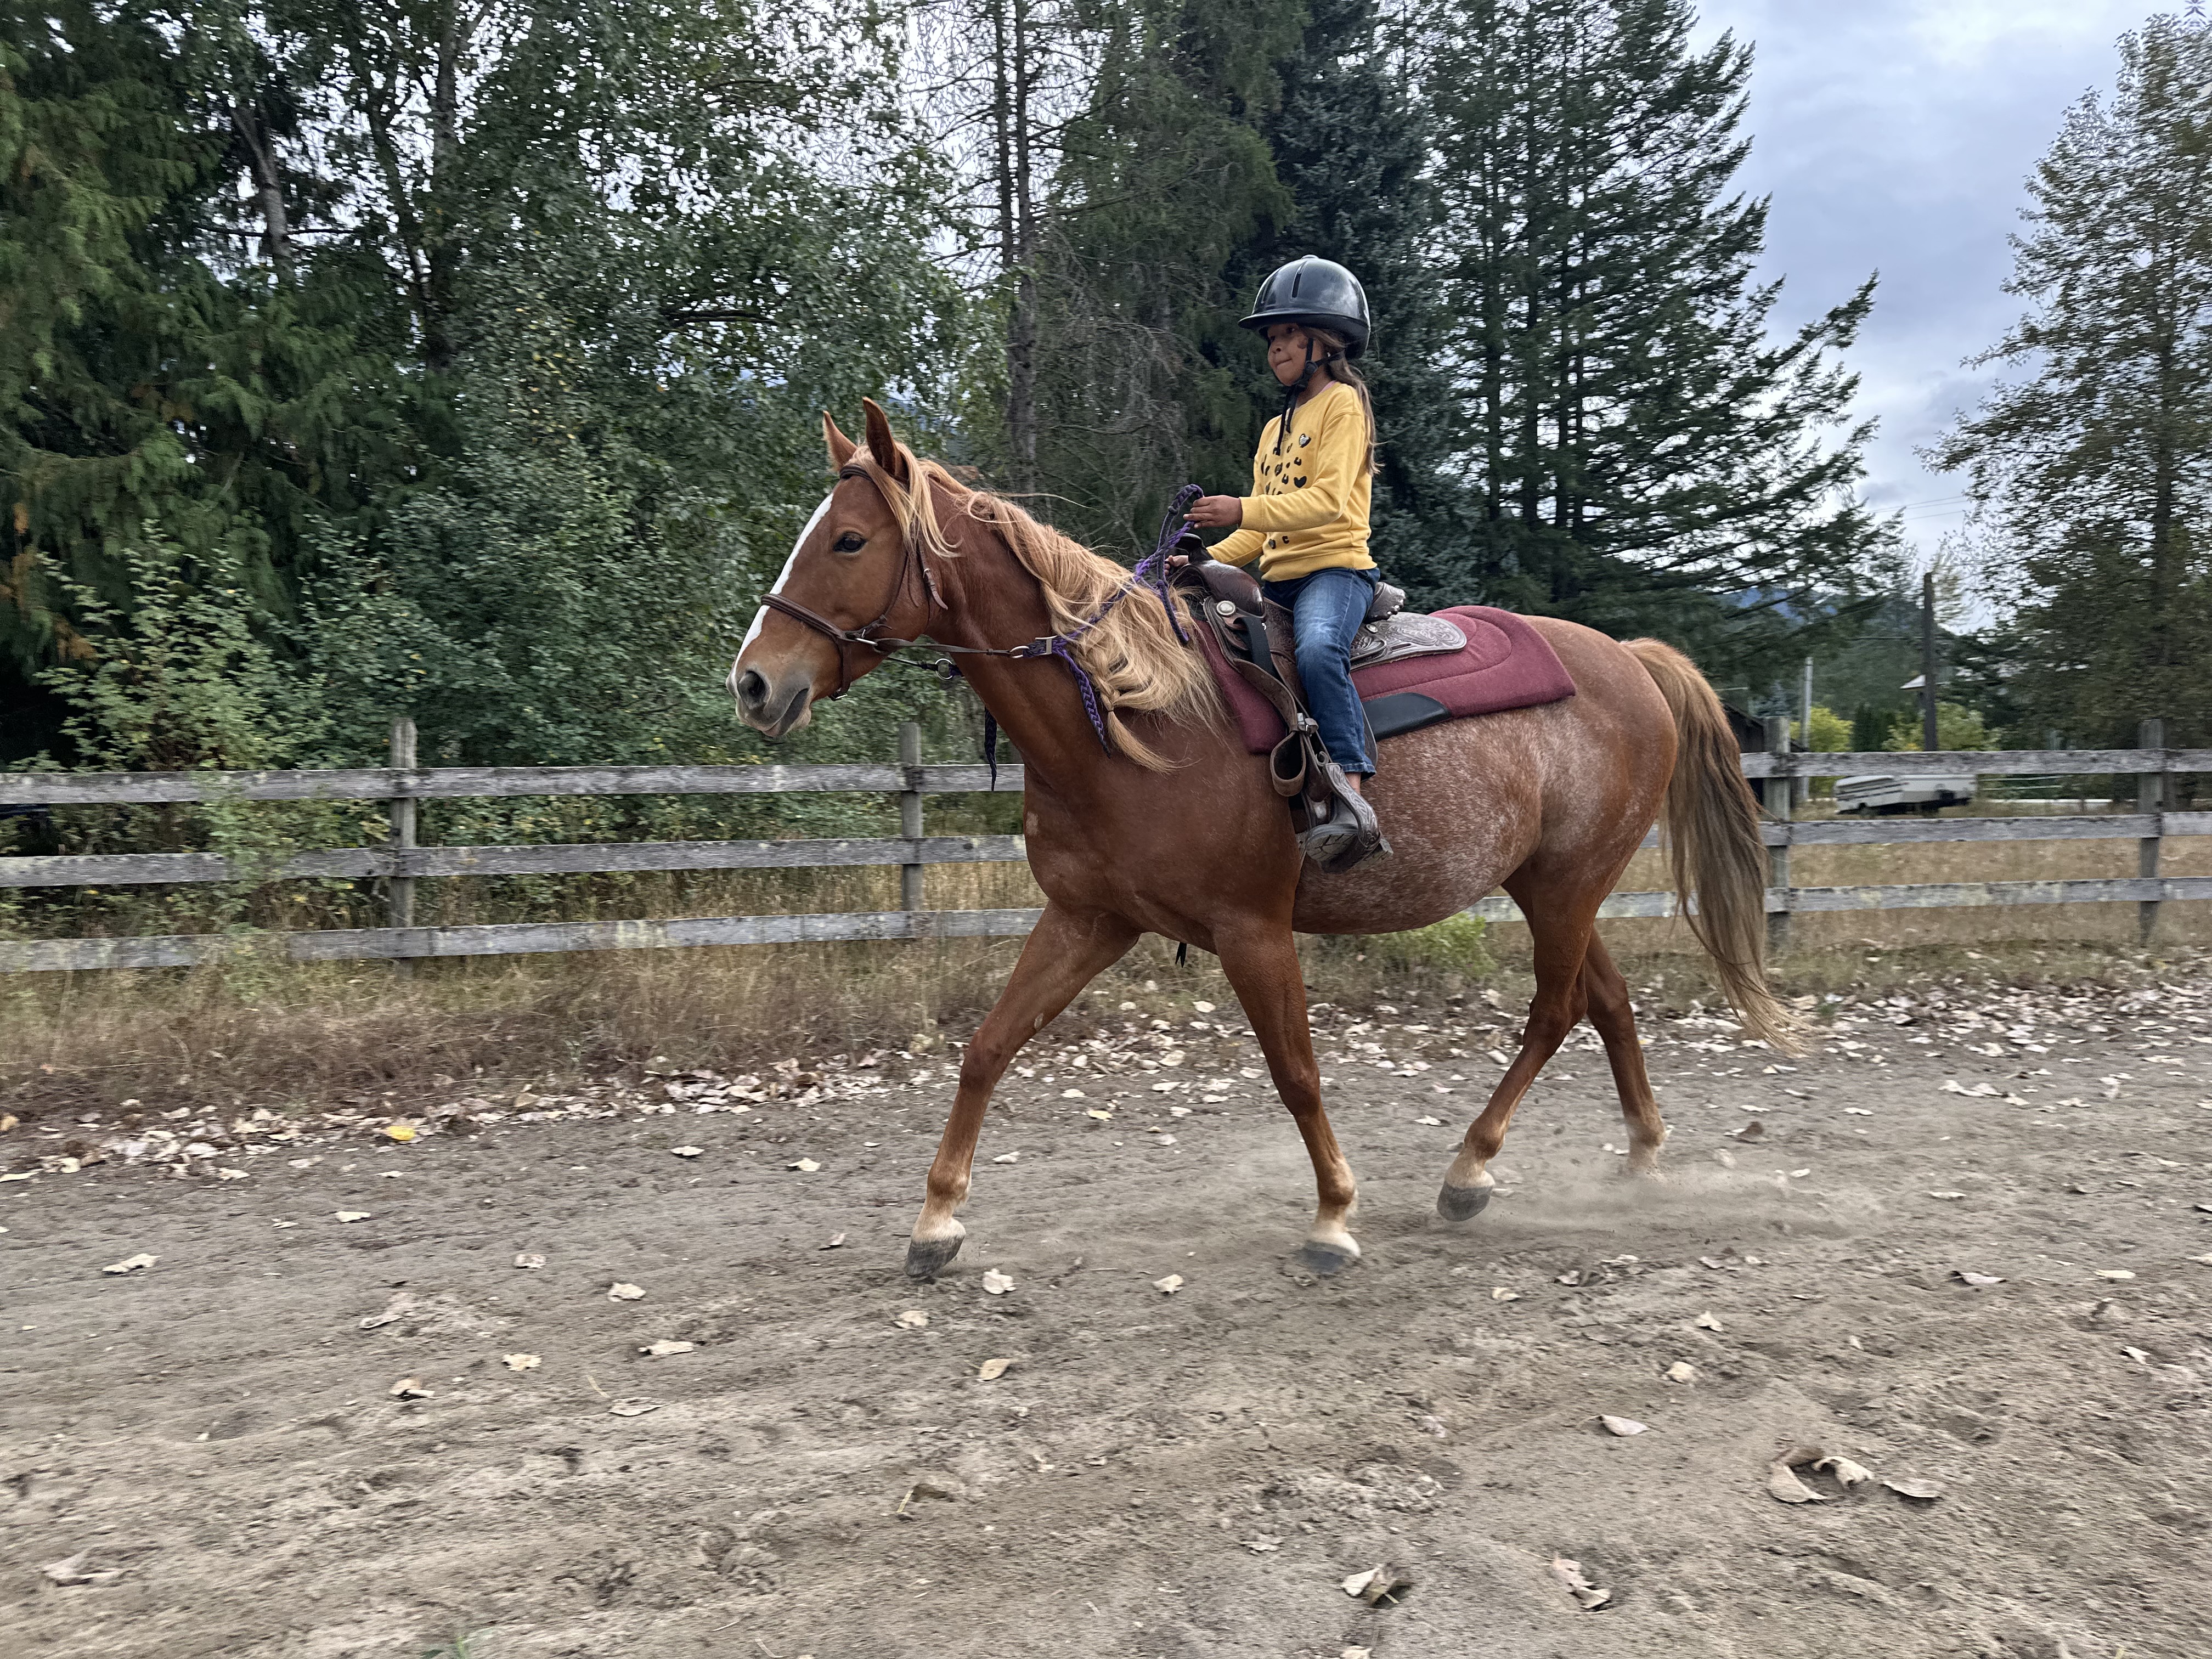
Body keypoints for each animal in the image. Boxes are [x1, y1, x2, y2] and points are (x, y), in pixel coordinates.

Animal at [734, 402, 1787, 1283]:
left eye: (850, 538)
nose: (753, 683)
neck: (1140, 719)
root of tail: (1633, 661)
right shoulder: (1089, 917)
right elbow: (988, 1048)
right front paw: (936, 1222)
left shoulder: (1253, 931)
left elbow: (1295, 1073)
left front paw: (1333, 1217)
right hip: (1549, 883)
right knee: (1605, 1001)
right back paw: (1639, 1155)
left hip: (1568, 885)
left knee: (1555, 1009)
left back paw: (1469, 1168)